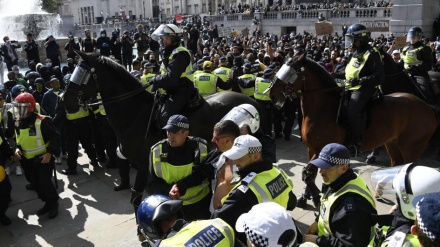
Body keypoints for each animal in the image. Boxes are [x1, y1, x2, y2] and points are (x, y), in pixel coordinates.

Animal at [270, 54, 438, 208]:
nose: (271, 94)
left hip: (409, 147)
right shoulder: (311, 149)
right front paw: (306, 197)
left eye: (291, 72)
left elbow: (307, 174)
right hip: (392, 143)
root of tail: (428, 107)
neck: (324, 109)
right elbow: (310, 173)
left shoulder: (321, 149)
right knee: (397, 165)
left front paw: (317, 198)